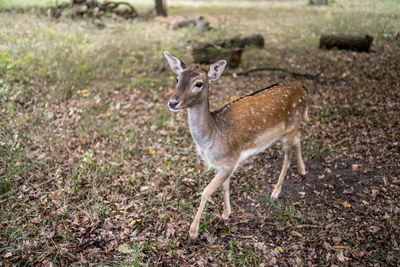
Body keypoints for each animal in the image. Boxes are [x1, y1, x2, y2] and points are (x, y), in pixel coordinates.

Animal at [164, 51, 308, 240]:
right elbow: (224, 185)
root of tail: (303, 88)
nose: (173, 102)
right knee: (299, 138)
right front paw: (226, 213)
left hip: (290, 126)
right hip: (292, 127)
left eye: (199, 83)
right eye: (177, 78)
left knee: (288, 156)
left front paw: (193, 231)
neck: (211, 140)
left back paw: (276, 192)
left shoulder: (231, 160)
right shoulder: (222, 164)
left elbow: (206, 191)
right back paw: (303, 169)